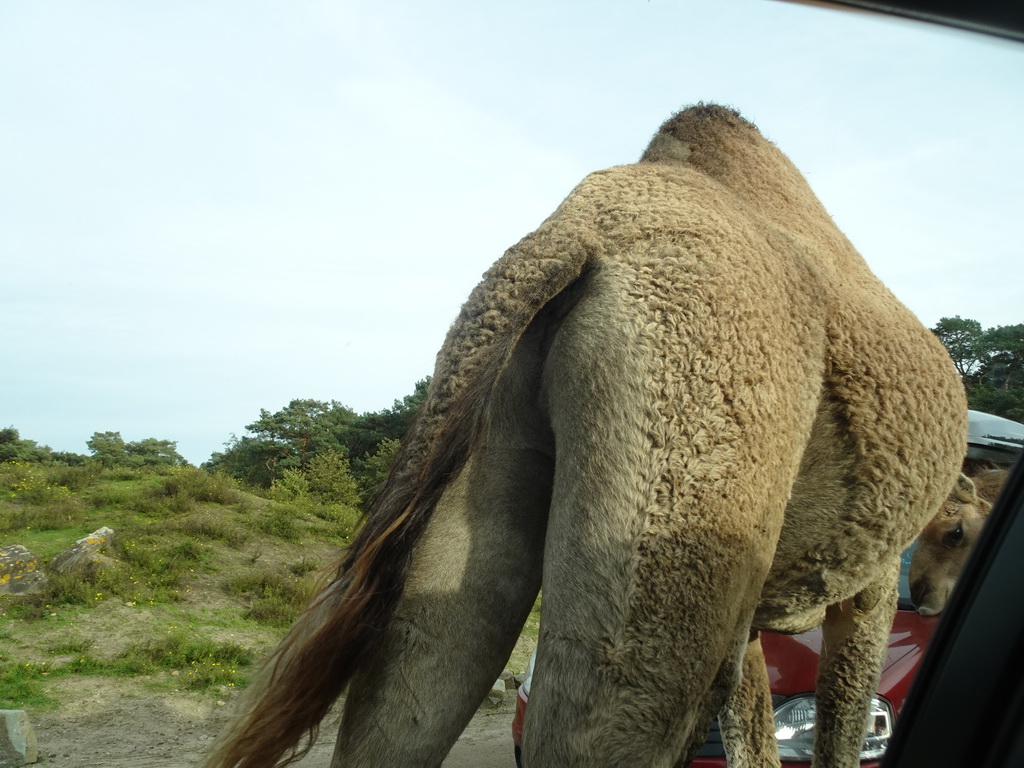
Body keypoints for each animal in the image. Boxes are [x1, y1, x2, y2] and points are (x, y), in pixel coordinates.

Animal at [207, 107, 966, 768]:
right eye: (955, 532)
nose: (931, 597)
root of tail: (580, 230)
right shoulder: (870, 579)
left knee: (420, 669)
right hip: (685, 467)